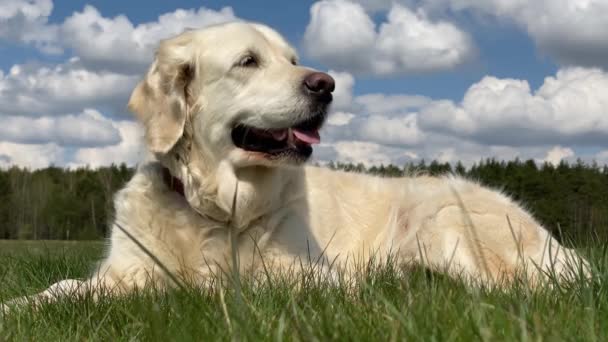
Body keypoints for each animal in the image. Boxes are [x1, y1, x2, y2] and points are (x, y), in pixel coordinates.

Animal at [0, 22, 588, 308]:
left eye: (292, 58)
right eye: (248, 61)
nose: (326, 84)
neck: (218, 211)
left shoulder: (310, 277)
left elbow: (234, 286)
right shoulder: (122, 270)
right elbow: (60, 291)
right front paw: (20, 308)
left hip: (443, 217)